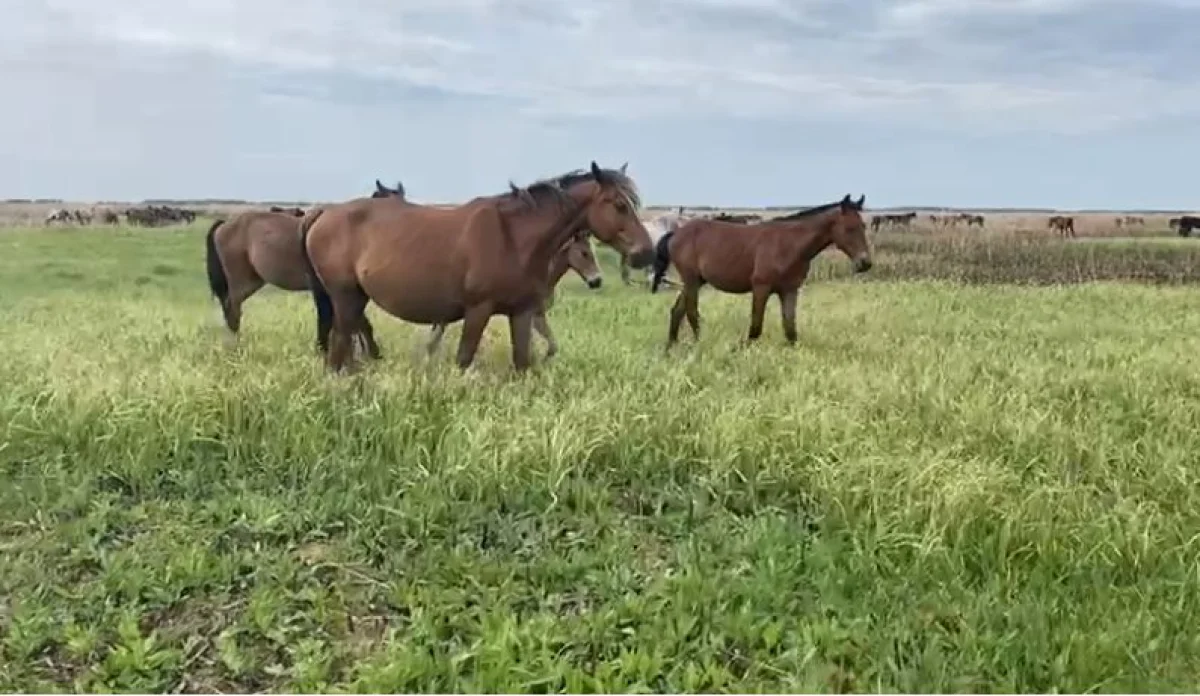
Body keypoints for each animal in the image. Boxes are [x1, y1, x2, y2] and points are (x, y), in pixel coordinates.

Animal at [427, 232, 604, 362]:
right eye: (584, 253)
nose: (597, 281)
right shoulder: (533, 314)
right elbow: (543, 346)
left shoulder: (534, 314)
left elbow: (549, 345)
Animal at [652, 194, 878, 345]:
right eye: (849, 229)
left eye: (864, 226)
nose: (865, 263)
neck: (789, 245)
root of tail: (675, 234)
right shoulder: (761, 288)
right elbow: (756, 326)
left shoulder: (789, 290)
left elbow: (790, 329)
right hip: (691, 280)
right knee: (691, 312)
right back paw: (701, 343)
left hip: (696, 280)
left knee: (677, 311)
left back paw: (671, 348)